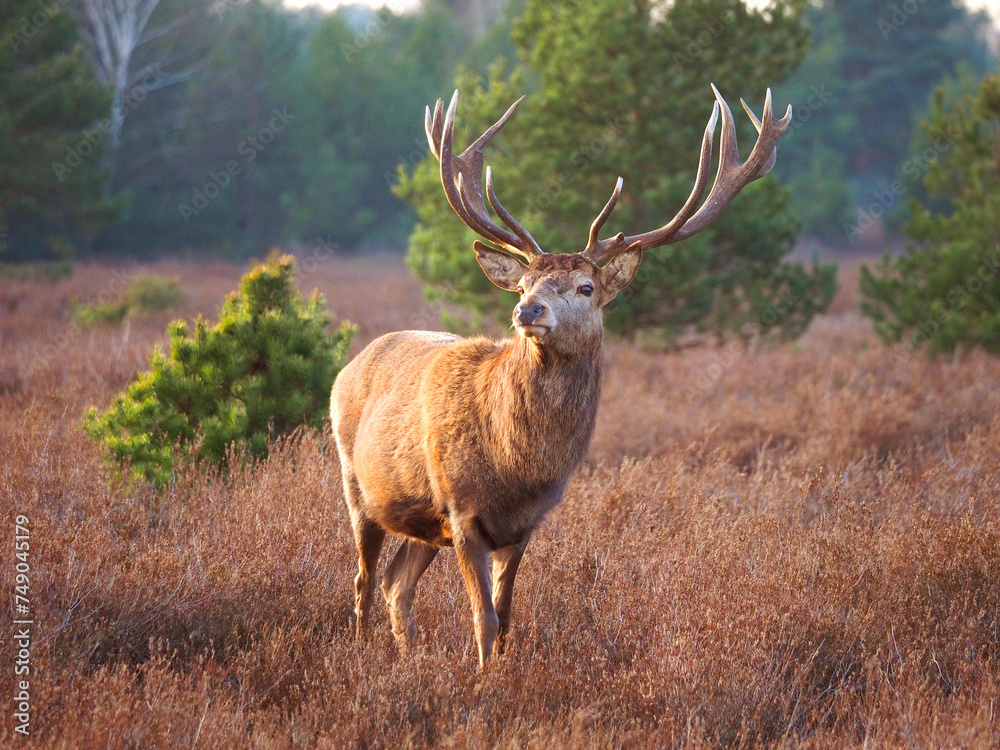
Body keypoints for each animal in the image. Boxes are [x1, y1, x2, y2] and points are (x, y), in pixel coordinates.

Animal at [330, 85, 791, 668]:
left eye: (586, 288)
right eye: (524, 281)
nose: (527, 310)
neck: (517, 466)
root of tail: (347, 366)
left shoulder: (524, 525)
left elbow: (506, 618)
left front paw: (499, 672)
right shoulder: (462, 510)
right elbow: (483, 618)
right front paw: (482, 679)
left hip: (421, 521)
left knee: (396, 584)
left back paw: (408, 661)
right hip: (356, 484)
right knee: (364, 581)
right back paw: (362, 658)